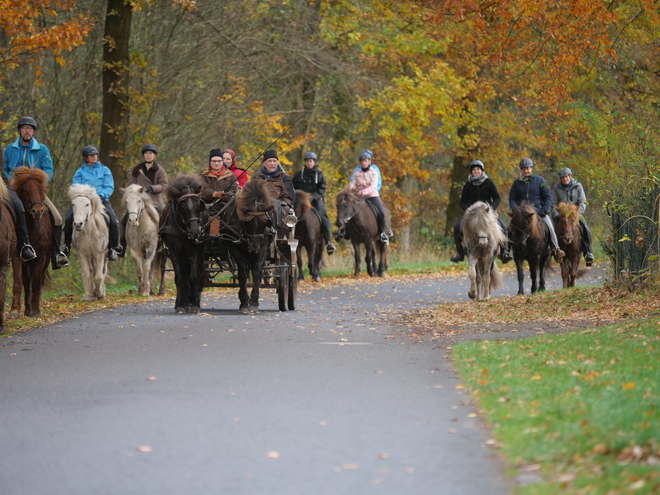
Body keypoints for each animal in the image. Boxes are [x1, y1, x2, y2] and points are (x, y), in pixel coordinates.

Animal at [9, 168, 51, 318]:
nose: (37, 211)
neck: (32, 229)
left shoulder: (41, 258)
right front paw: (14, 311)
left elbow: (37, 283)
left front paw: (36, 311)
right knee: (27, 282)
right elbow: (18, 282)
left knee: (38, 281)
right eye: (26, 190)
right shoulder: (17, 257)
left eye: (40, 188)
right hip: (27, 263)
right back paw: (27, 310)